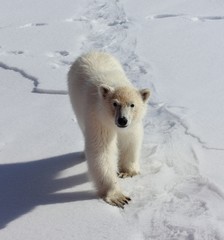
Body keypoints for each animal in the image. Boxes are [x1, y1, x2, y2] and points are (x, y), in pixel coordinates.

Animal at [67, 51, 150, 208]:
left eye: (132, 104)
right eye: (115, 103)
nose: (122, 120)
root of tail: (90, 52)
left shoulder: (131, 124)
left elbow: (131, 140)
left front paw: (127, 172)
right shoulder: (98, 119)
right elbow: (101, 150)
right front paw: (118, 196)